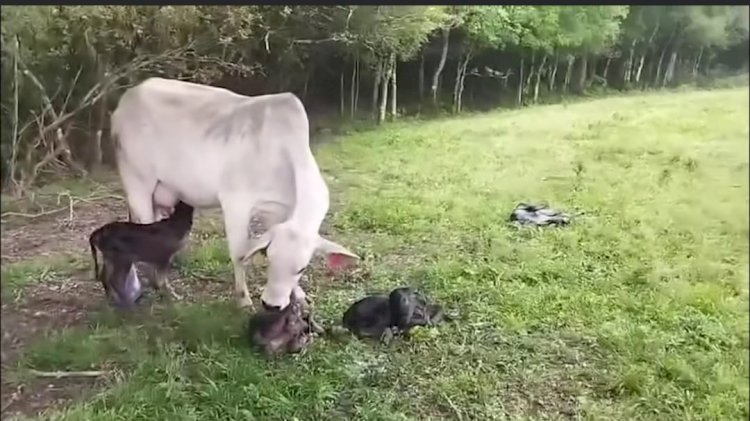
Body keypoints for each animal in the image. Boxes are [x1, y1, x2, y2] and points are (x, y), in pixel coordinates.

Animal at [110, 77, 360, 308]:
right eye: (270, 258)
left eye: (301, 268)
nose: (271, 305)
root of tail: (127, 99)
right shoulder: (235, 203)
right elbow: (240, 252)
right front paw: (243, 299)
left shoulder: (277, 212)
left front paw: (298, 295)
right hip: (138, 180)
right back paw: (160, 286)